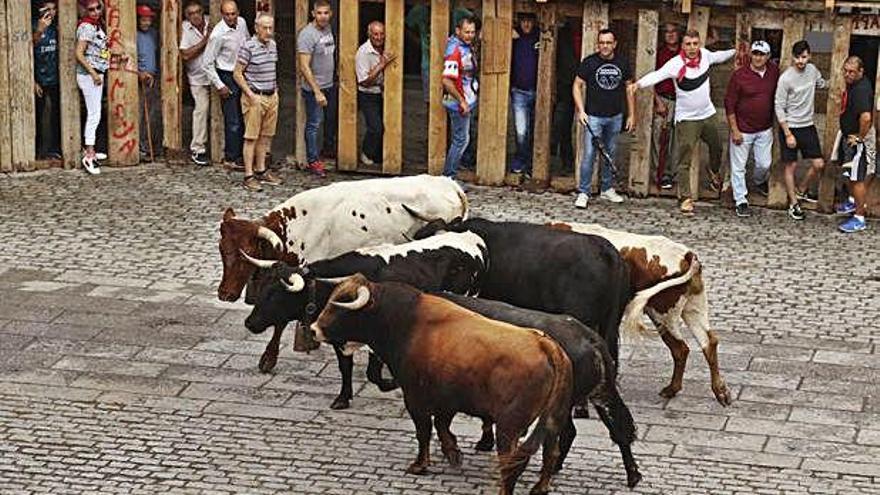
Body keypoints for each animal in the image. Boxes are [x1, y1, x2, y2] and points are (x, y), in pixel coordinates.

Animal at [312, 276, 576, 495]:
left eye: (342, 305)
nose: (314, 329)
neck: (405, 322)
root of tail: (545, 344)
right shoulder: (447, 398)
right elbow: (442, 425)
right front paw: (453, 452)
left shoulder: (415, 395)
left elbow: (424, 430)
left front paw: (420, 464)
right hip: (552, 420)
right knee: (550, 452)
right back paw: (540, 487)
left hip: (508, 425)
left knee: (512, 462)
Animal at [548, 222, 732, 406]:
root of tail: (686, 254)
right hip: (693, 308)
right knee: (707, 342)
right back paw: (719, 391)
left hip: (662, 312)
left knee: (681, 347)